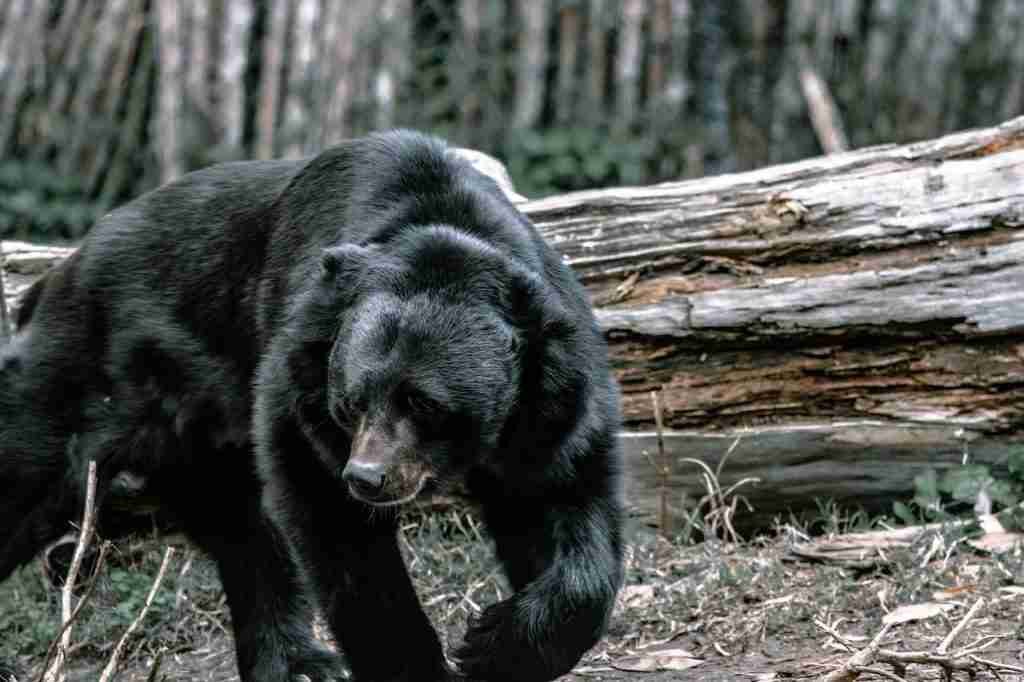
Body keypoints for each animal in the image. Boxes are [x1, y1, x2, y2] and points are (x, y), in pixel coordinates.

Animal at [0, 131, 622, 679]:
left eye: (424, 403)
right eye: (351, 402)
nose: (368, 477)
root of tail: (55, 275)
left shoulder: (553, 401)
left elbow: (566, 503)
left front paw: (496, 644)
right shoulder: (299, 383)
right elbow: (339, 534)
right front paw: (422, 664)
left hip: (197, 437)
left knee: (244, 535)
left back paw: (297, 663)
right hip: (84, 379)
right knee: (28, 475)